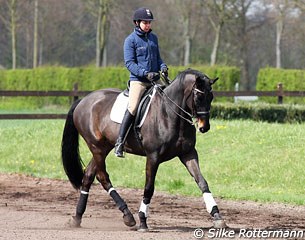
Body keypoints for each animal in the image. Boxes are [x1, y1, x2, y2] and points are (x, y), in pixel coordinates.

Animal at [60, 68, 226, 231]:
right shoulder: (153, 156)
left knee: (88, 175)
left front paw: (217, 216)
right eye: (199, 97)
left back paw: (77, 217)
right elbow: (148, 188)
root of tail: (83, 100)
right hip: (96, 147)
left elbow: (202, 182)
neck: (170, 114)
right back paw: (128, 216)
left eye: (211, 97)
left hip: (104, 147)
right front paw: (143, 221)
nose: (204, 127)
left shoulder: (188, 154)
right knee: (103, 177)